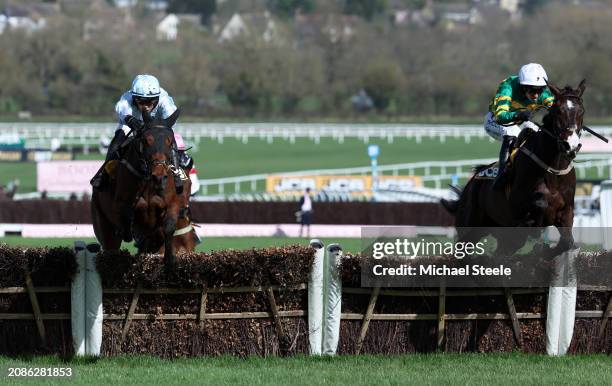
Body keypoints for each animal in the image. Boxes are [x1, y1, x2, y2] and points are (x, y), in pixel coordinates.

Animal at [442, 80, 584, 256]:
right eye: (559, 111)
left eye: (581, 111)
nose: (571, 145)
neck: (553, 171)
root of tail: (470, 184)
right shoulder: (519, 206)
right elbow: (539, 206)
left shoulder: (567, 212)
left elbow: (567, 242)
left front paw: (544, 251)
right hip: (470, 226)